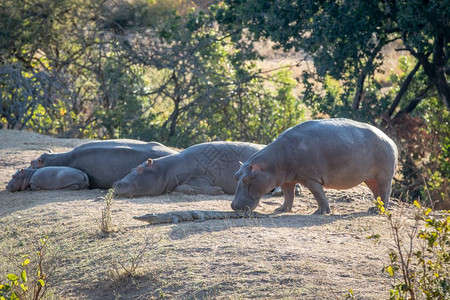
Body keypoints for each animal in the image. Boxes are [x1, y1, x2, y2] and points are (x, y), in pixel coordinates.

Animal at [113, 141, 268, 197]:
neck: (166, 168)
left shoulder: (200, 177)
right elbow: (179, 188)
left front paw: (218, 190)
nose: (116, 183)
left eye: (140, 169)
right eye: (132, 168)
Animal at [232, 118, 398, 214]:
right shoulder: (286, 180)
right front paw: (281, 209)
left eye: (246, 179)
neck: (271, 164)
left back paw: (378, 211)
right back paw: (373, 208)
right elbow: (288, 195)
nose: (233, 206)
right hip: (369, 178)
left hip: (384, 176)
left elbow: (319, 195)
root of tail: (390, 140)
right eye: (236, 176)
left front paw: (322, 212)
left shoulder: (311, 178)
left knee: (385, 191)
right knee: (376, 192)